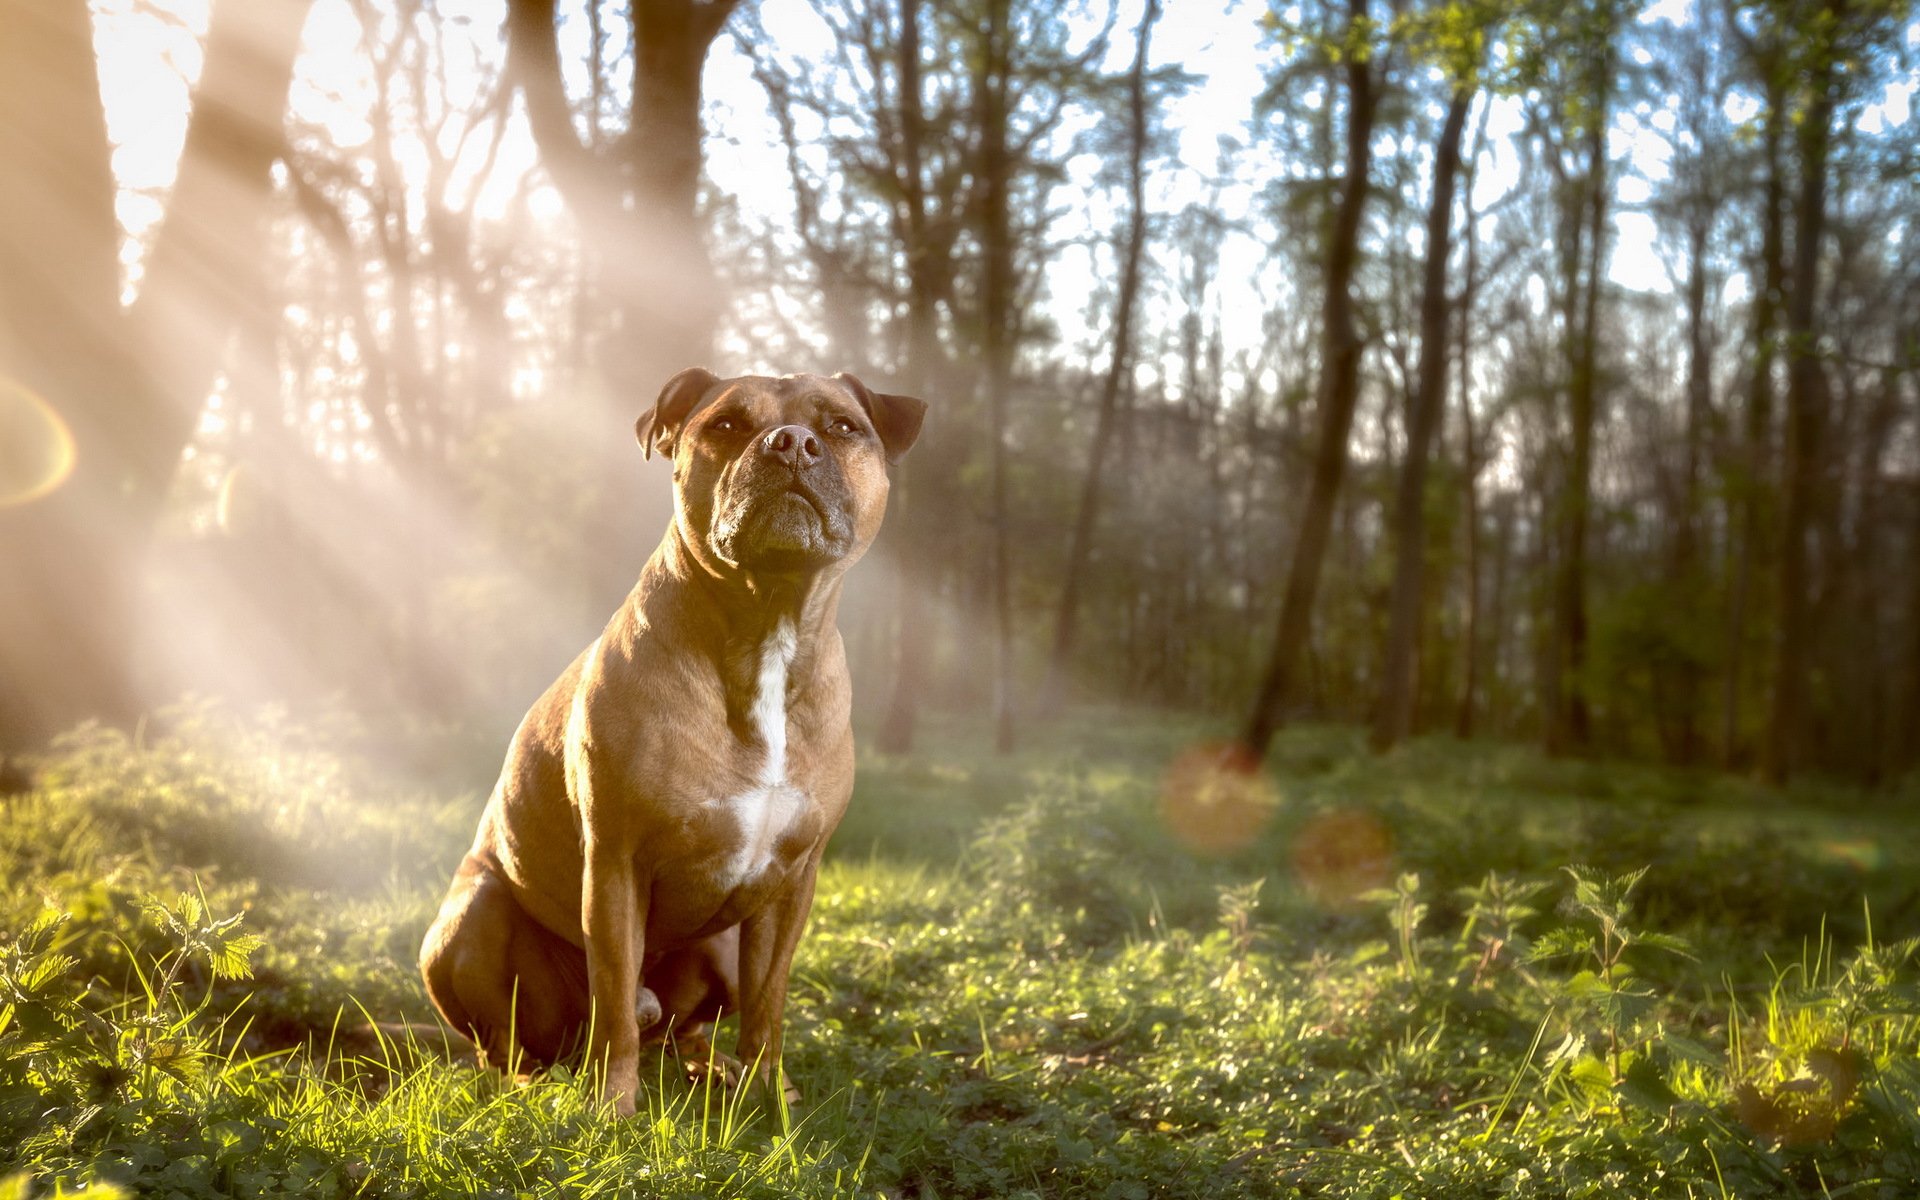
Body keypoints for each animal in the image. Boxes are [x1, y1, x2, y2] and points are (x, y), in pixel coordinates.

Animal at [422, 366, 929, 1113]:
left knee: (685, 1028)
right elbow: (613, 1009)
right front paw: (610, 1108)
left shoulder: (792, 885)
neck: (769, 626)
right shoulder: (615, 865)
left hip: (721, 946)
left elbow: (769, 1006)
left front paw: (772, 1097)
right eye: (726, 424)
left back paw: (711, 1071)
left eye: (841, 426)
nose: (792, 443)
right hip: (468, 921)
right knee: (513, 1043)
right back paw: (534, 1086)